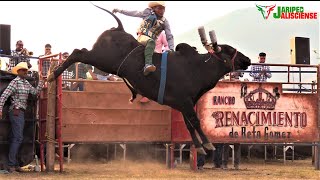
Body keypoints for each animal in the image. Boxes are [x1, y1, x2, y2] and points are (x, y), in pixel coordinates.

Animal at [47, 5, 251, 155]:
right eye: (230, 50)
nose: (247, 59)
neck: (197, 67)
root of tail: (118, 29)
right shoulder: (185, 102)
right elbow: (195, 121)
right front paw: (208, 145)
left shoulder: (183, 104)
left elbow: (189, 124)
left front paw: (200, 147)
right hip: (102, 60)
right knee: (78, 52)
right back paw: (52, 74)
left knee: (79, 52)